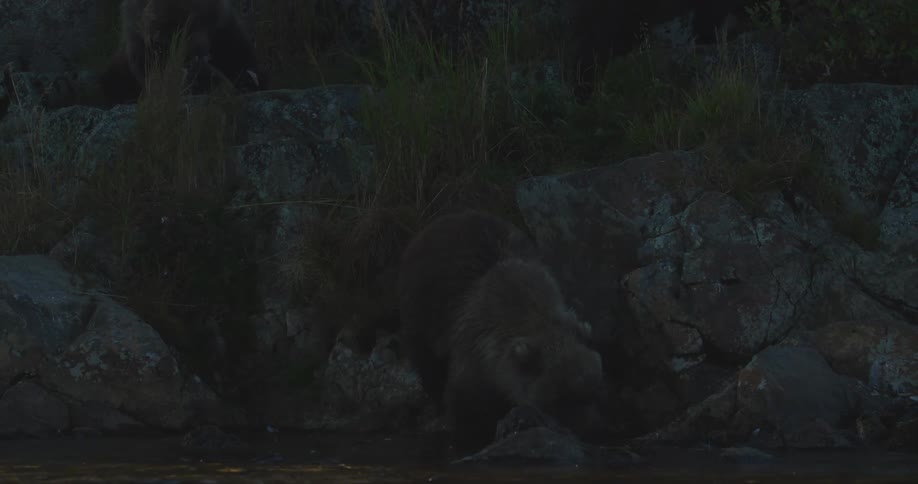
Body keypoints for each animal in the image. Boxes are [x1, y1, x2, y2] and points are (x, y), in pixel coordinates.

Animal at [397, 210, 603, 450]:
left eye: (594, 392)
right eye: (559, 398)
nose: (591, 430)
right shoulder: (472, 344)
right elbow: (466, 404)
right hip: (419, 309)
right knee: (426, 360)